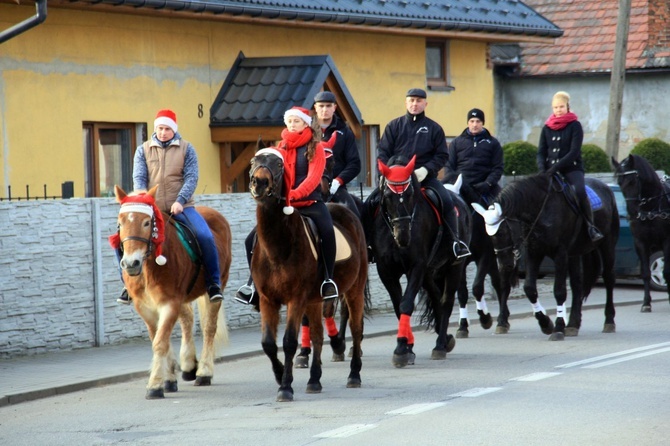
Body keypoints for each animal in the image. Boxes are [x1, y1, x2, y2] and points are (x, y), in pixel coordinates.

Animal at [113, 183, 234, 398]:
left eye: (147, 223)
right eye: (120, 223)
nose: (130, 264)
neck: (149, 267)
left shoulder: (169, 303)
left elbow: (160, 341)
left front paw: (155, 385)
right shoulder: (144, 307)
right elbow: (160, 338)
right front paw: (168, 379)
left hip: (216, 286)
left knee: (209, 327)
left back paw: (204, 372)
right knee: (187, 321)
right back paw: (188, 366)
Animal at [251, 148, 370, 402]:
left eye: (279, 164)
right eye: (253, 160)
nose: (259, 182)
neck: (278, 246)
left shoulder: (296, 299)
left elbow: (288, 341)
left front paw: (285, 387)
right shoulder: (268, 300)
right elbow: (268, 343)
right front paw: (279, 375)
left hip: (354, 290)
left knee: (356, 329)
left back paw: (354, 374)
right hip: (314, 299)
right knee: (316, 334)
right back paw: (314, 379)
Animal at [368, 155, 472, 368]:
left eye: (409, 195)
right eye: (388, 196)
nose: (403, 236)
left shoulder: (416, 267)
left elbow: (406, 303)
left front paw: (401, 348)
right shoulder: (386, 271)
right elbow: (398, 305)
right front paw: (408, 347)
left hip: (454, 267)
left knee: (446, 300)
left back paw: (440, 345)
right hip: (429, 273)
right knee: (436, 297)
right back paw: (445, 339)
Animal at [472, 172, 620, 340]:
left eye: (502, 232)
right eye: (489, 237)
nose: (503, 265)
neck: (540, 210)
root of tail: (606, 187)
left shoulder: (560, 254)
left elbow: (560, 291)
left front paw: (558, 328)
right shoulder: (534, 252)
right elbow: (529, 288)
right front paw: (545, 323)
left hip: (607, 244)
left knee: (609, 278)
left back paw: (609, 321)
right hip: (575, 254)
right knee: (577, 284)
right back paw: (573, 324)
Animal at [616, 155, 670, 312]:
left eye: (633, 181)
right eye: (619, 182)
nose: (631, 212)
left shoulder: (667, 241)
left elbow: (666, 272)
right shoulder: (641, 243)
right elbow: (646, 273)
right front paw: (646, 303)